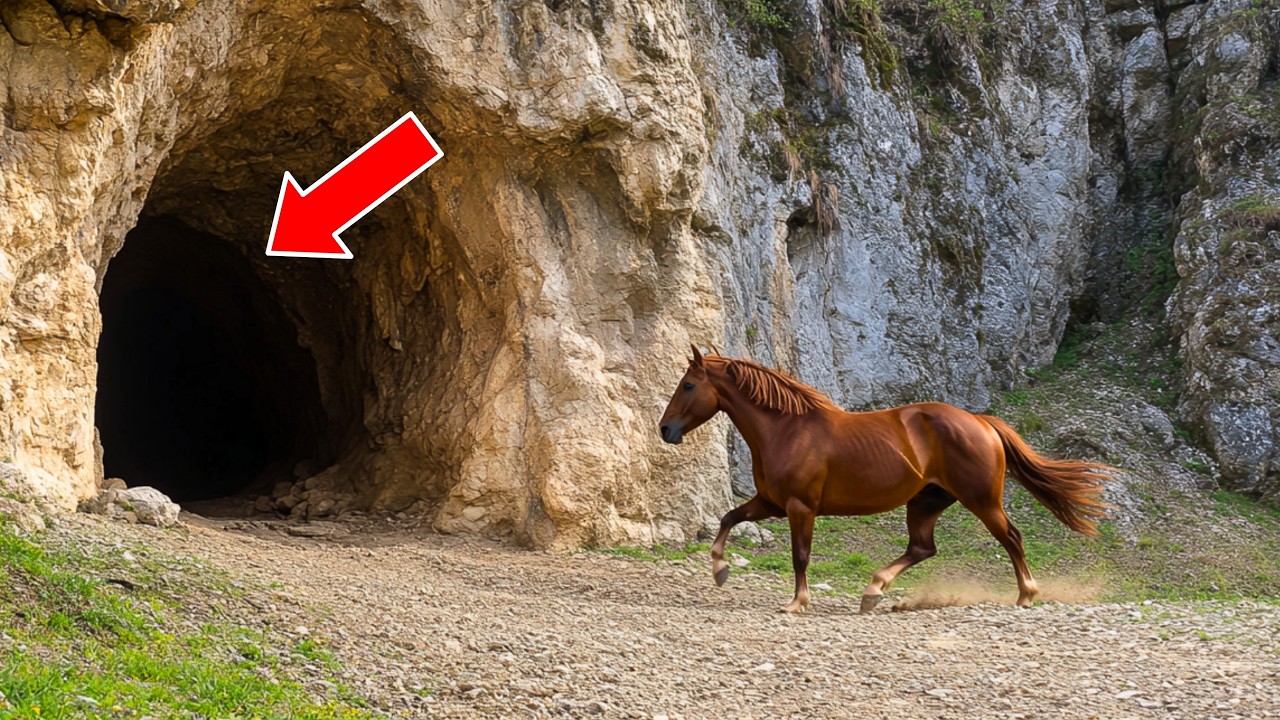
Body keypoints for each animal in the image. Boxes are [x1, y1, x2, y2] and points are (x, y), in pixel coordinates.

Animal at [658, 346, 1110, 614]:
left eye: (688, 384)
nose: (665, 429)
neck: (787, 430)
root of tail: (982, 422)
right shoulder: (771, 502)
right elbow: (729, 518)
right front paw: (719, 570)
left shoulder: (800, 507)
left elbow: (800, 556)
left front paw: (797, 602)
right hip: (926, 502)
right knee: (922, 548)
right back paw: (874, 590)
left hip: (980, 500)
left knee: (1011, 537)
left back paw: (1026, 594)